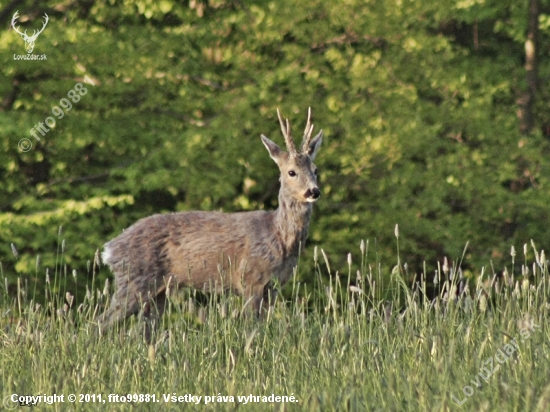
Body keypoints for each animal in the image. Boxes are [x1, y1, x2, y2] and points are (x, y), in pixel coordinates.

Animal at [99, 108, 324, 332]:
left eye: (315, 169)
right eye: (291, 172)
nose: (313, 191)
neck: (278, 236)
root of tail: (109, 249)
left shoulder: (275, 286)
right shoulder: (251, 278)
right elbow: (252, 327)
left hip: (157, 291)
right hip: (133, 279)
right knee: (101, 323)